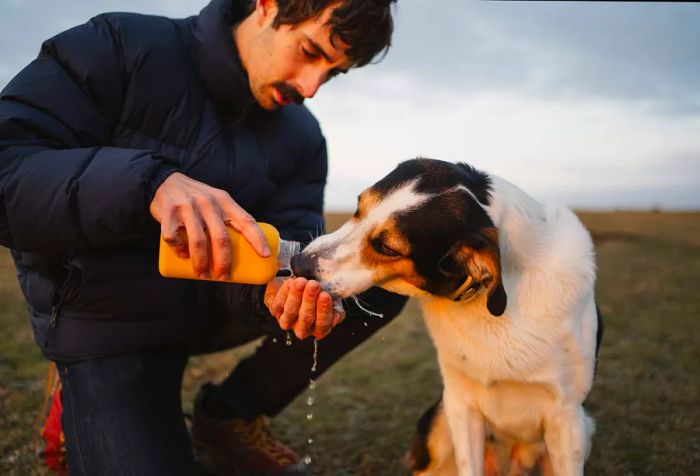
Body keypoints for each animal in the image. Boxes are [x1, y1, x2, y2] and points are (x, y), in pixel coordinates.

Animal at [290, 158, 600, 474]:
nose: (298, 263)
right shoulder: (461, 405)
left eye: (387, 248)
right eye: (358, 208)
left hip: (584, 428)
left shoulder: (567, 417)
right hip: (437, 424)